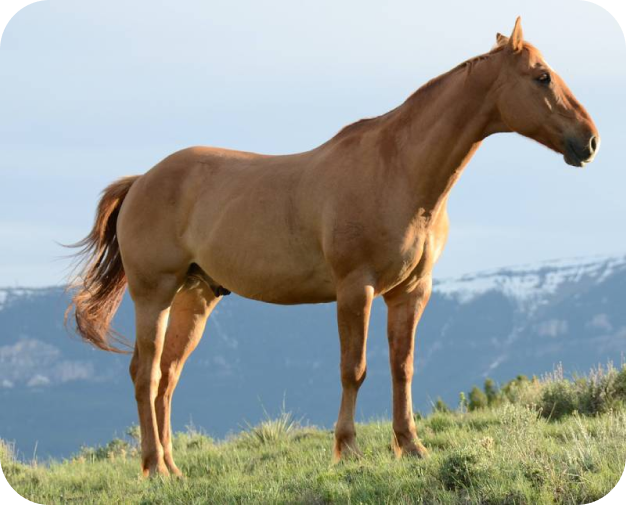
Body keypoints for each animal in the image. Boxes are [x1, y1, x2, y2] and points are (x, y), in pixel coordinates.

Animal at [66, 18, 596, 476]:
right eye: (541, 76)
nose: (589, 141)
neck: (398, 171)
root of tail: (141, 181)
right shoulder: (355, 289)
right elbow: (353, 369)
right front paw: (348, 449)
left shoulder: (411, 292)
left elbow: (402, 367)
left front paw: (411, 446)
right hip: (153, 293)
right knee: (146, 374)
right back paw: (154, 468)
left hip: (195, 298)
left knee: (168, 377)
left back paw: (173, 468)